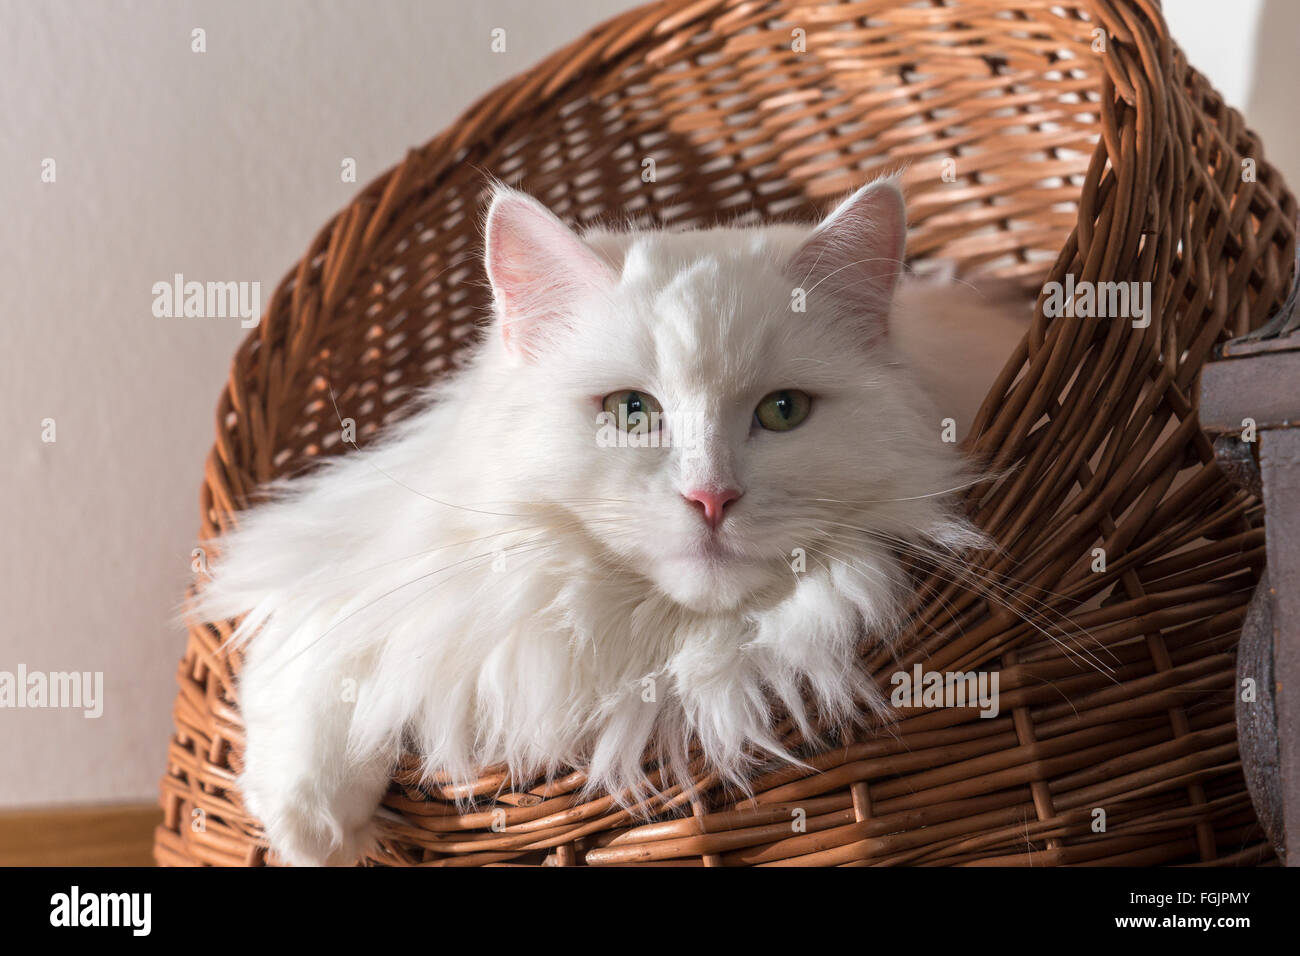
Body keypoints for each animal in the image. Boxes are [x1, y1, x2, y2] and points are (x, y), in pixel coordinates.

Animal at [192, 179, 1013, 868]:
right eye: (631, 411)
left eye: (783, 411)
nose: (711, 498)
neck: (642, 633)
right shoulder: (391, 553)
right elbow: (324, 644)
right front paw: (314, 826)